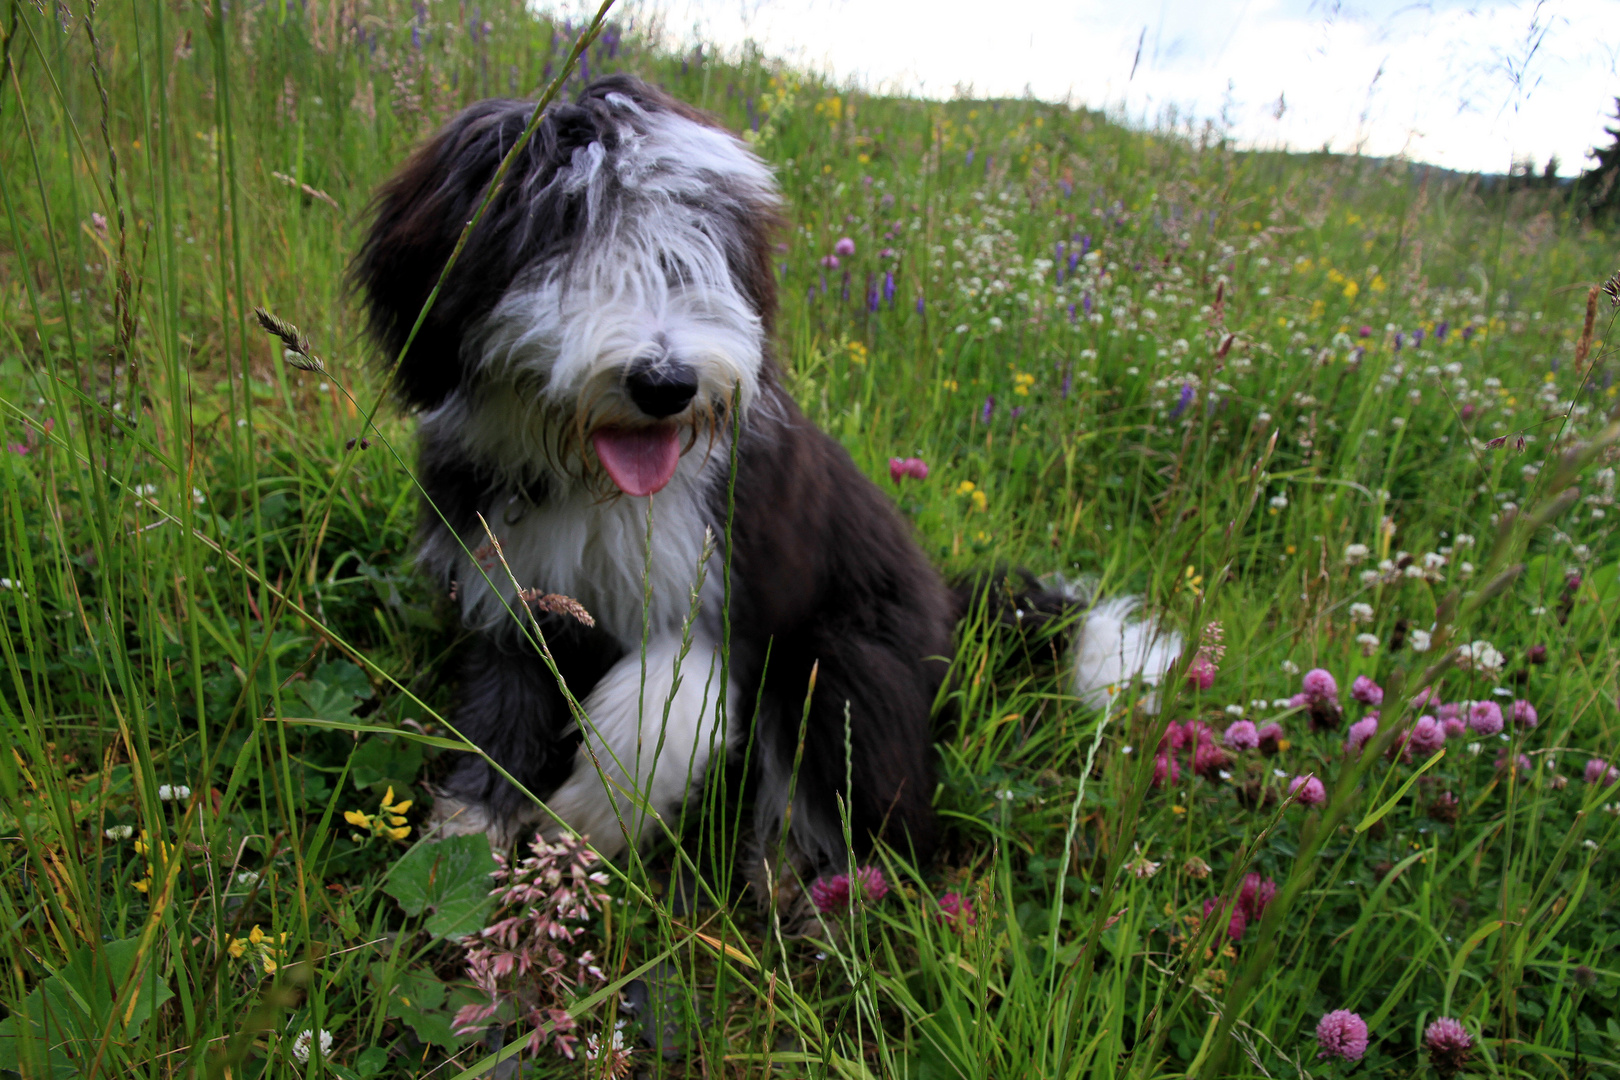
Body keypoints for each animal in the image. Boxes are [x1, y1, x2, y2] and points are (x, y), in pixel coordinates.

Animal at [354, 74, 1172, 867]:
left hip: (846, 655)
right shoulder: (512, 597)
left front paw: (584, 825)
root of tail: (947, 605)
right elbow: (502, 720)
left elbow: (658, 712)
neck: (595, 489)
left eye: (684, 261)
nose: (666, 384)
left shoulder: (728, 589)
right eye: (561, 247)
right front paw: (464, 838)